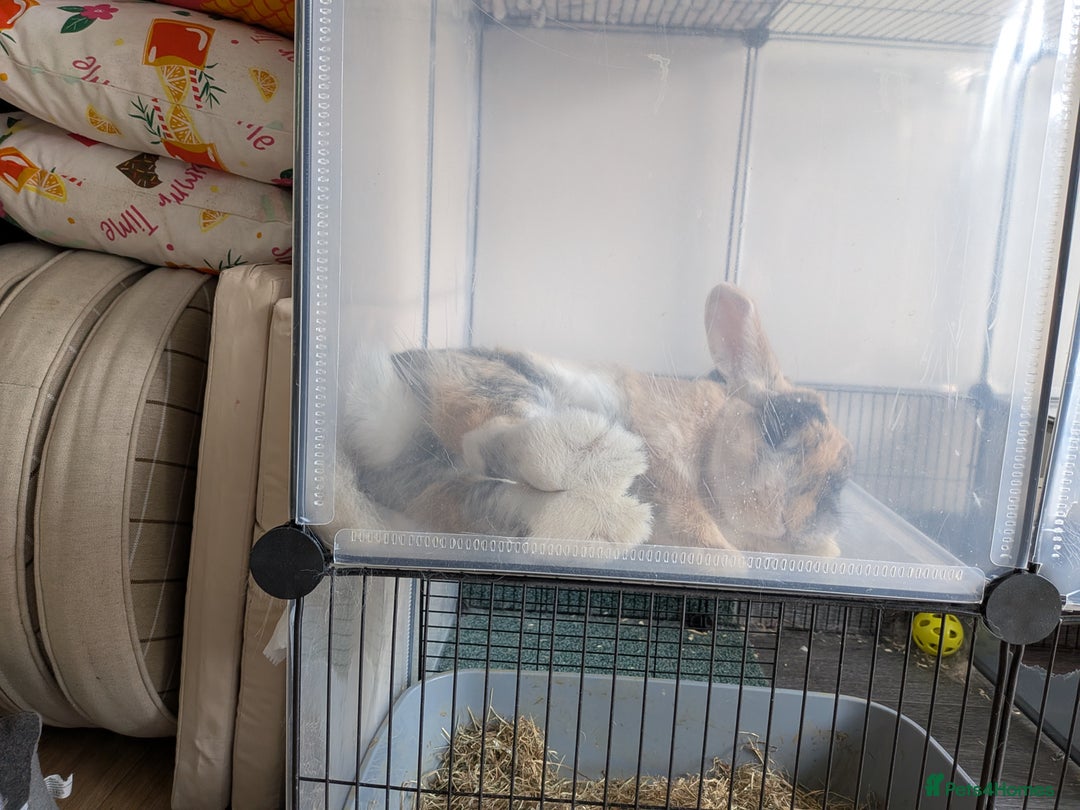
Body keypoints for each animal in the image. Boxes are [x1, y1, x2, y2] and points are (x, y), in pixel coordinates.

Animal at [336, 282, 852, 557]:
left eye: (842, 480)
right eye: (781, 423)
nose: (795, 522)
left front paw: (825, 553)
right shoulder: (666, 465)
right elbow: (697, 528)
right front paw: (727, 562)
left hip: (433, 484)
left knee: (491, 494)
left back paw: (603, 521)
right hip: (485, 378)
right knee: (499, 431)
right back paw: (595, 457)